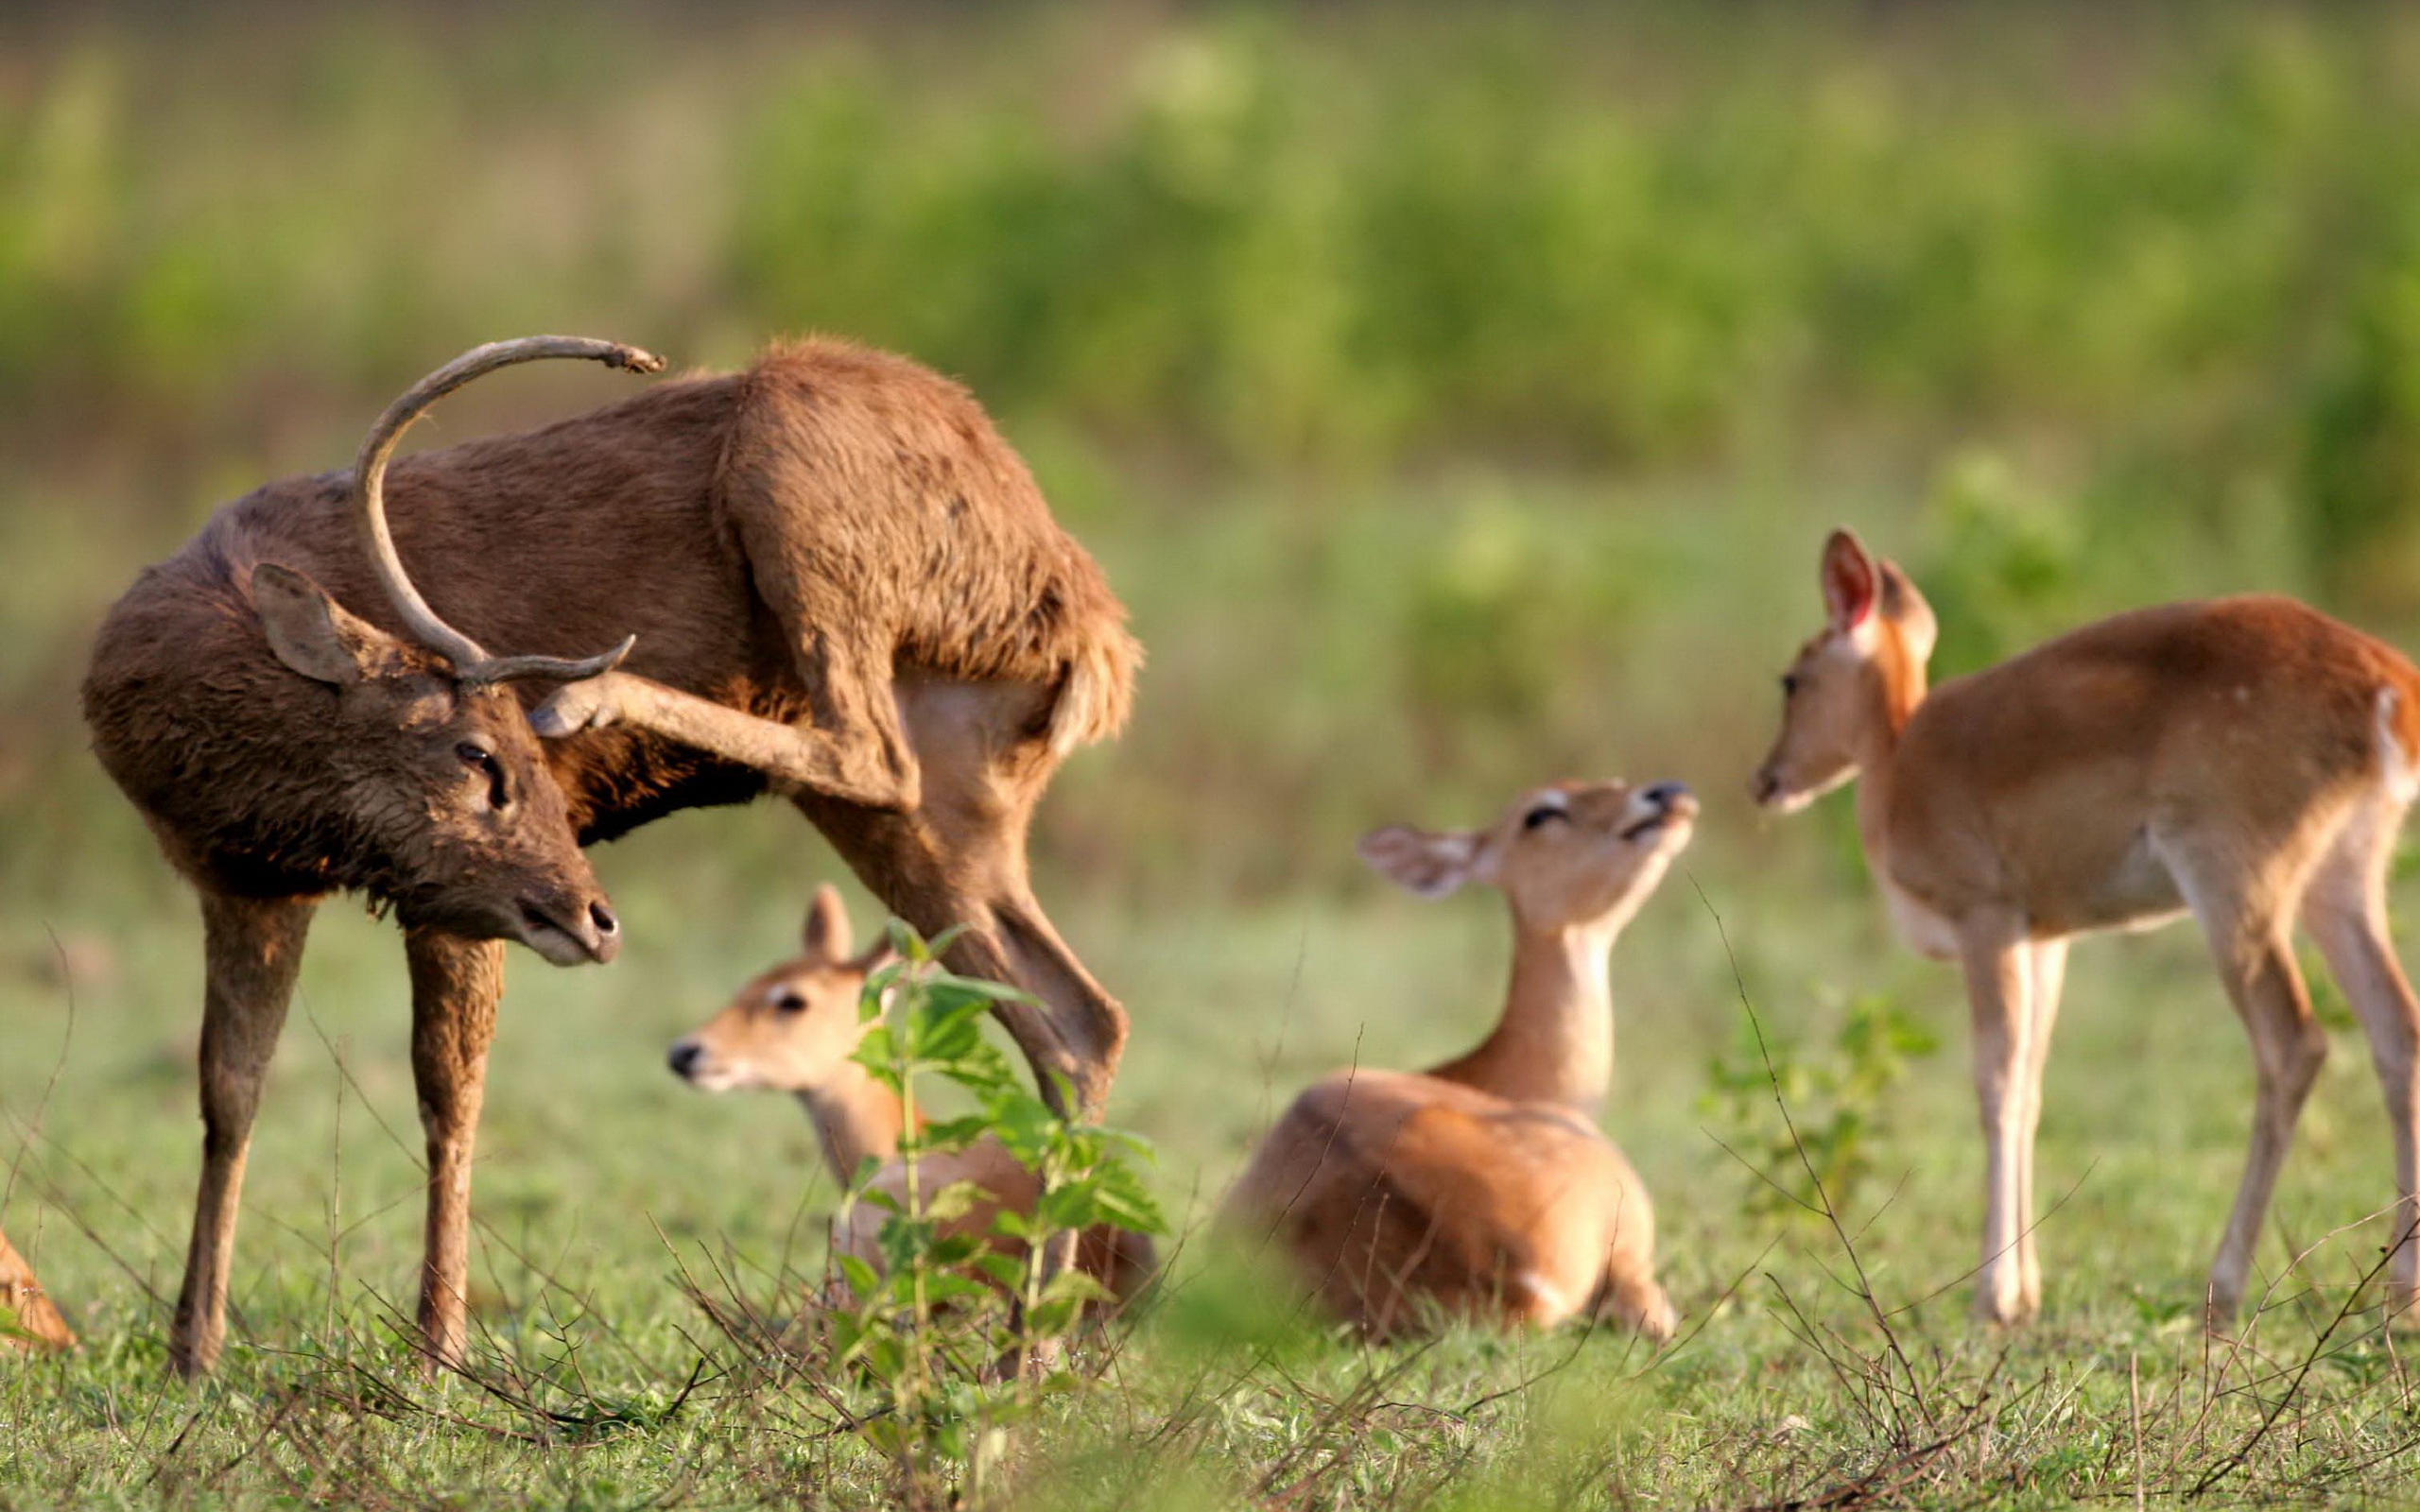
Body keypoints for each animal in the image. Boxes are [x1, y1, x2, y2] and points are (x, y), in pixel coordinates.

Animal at [1752, 527, 2420, 1315]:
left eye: (1792, 678)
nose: (1766, 780)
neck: (1899, 762)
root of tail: (2391, 688)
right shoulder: (2047, 938)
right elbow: (2032, 1084)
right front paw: (2026, 1290)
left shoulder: (1986, 918)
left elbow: (1995, 1082)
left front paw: (1994, 1296)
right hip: (2341, 882)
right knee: (2397, 1029)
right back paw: (2401, 1285)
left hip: (2233, 886)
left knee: (2295, 1043)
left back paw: (2223, 1287)